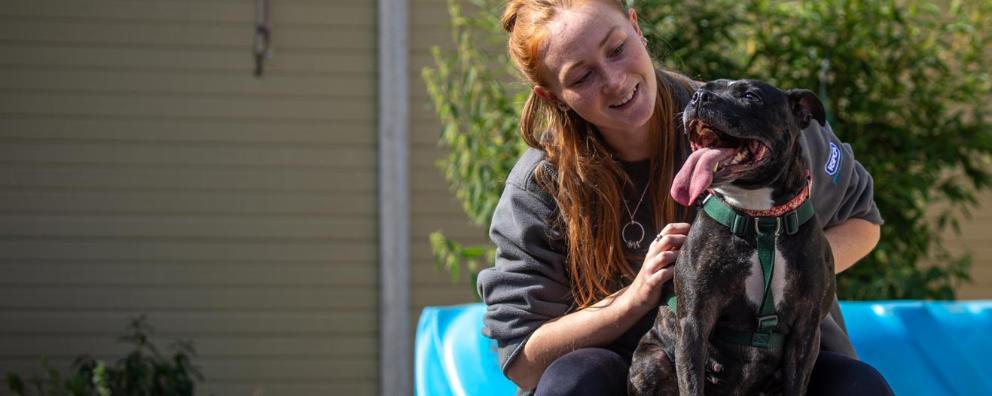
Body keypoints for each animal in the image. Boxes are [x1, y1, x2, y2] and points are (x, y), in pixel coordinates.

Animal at [628, 80, 836, 396]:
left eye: (750, 96)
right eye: (705, 88)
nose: (698, 97)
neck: (761, 219)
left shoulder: (806, 330)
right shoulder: (694, 322)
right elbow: (692, 383)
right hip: (652, 363)